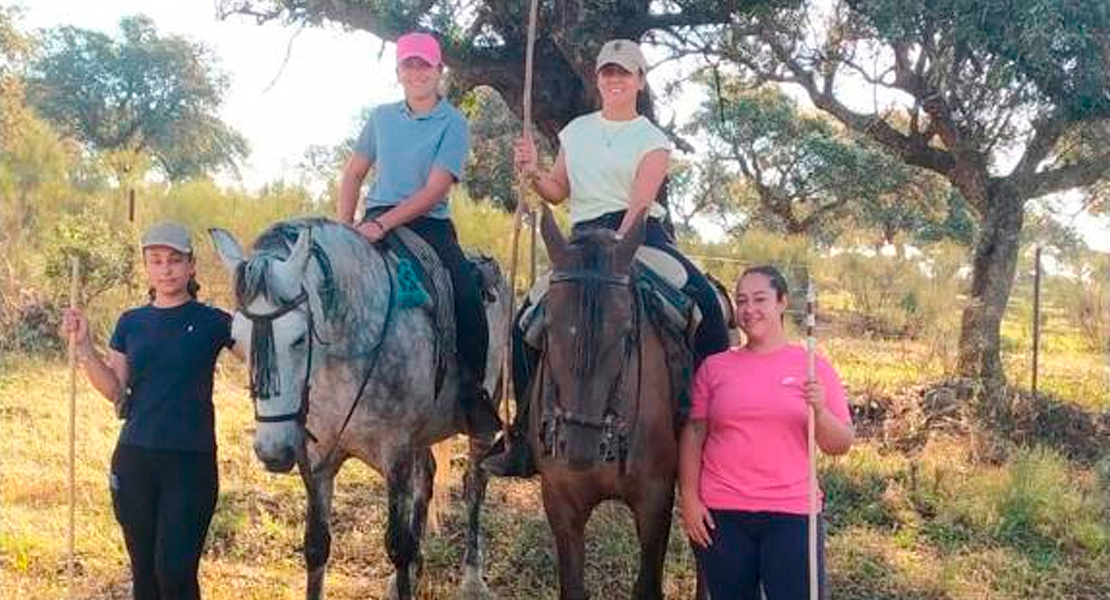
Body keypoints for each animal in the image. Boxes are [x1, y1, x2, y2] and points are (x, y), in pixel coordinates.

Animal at [208, 218, 508, 598]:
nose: (273, 452)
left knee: (474, 486)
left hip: (484, 419)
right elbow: (316, 546)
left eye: (299, 339)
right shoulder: (317, 459)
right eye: (236, 341)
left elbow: (398, 545)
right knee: (427, 478)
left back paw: (472, 577)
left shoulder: (396, 454)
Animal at [528, 207, 674, 598]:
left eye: (625, 333)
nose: (579, 451)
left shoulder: (655, 502)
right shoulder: (561, 501)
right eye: (547, 328)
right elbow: (573, 588)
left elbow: (647, 587)